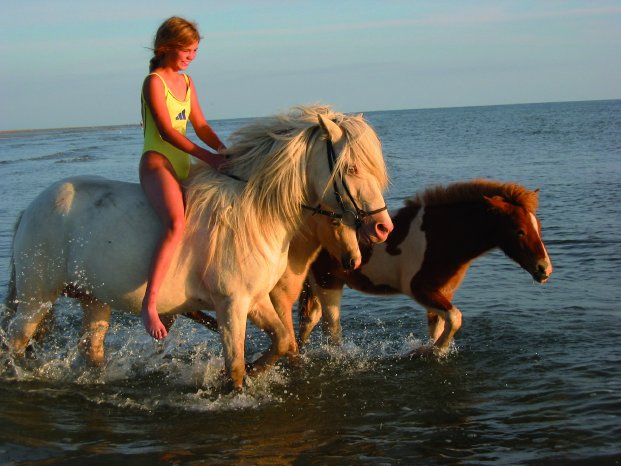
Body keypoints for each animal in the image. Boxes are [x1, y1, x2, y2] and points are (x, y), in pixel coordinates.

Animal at [4, 104, 390, 390]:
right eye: (351, 168)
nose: (383, 227)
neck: (255, 212)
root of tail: (31, 208)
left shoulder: (256, 299)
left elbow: (282, 341)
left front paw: (257, 369)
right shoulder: (232, 305)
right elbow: (236, 367)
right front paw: (236, 387)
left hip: (94, 300)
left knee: (92, 350)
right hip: (36, 298)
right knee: (14, 342)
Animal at [296, 178, 552, 356]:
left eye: (539, 226)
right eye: (519, 231)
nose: (544, 269)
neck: (440, 234)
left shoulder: (442, 292)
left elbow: (441, 326)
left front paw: (432, 350)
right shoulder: (419, 288)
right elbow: (455, 318)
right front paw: (429, 351)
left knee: (310, 320)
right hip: (328, 282)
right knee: (331, 330)